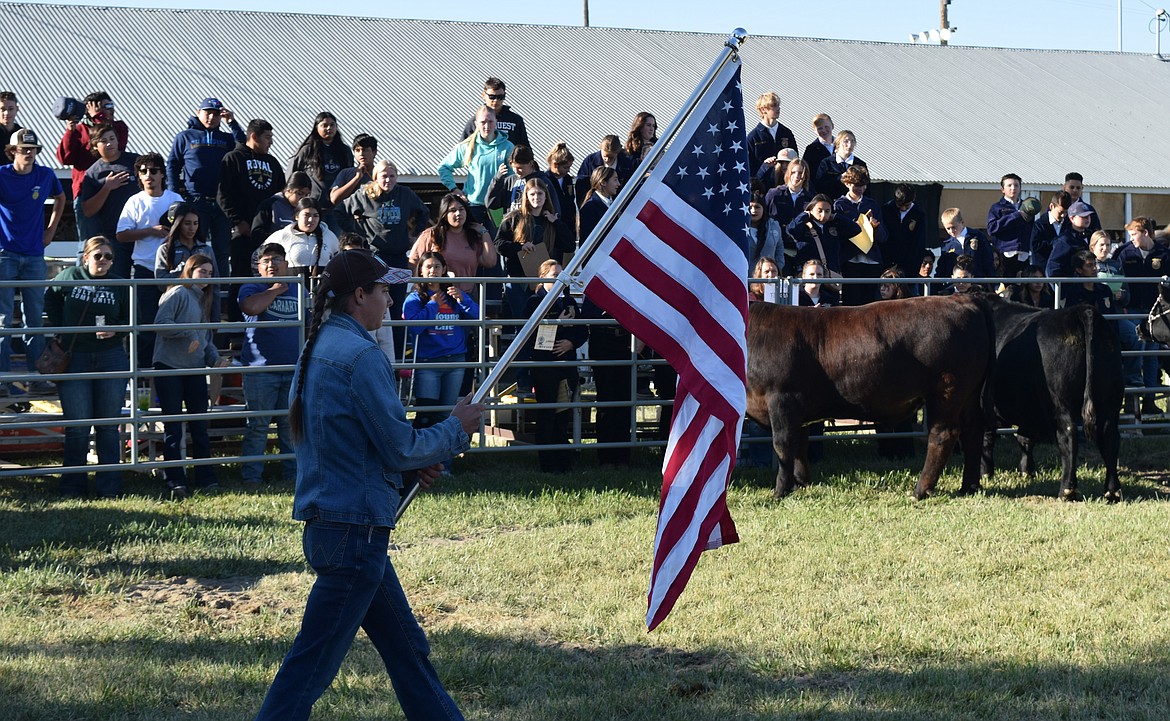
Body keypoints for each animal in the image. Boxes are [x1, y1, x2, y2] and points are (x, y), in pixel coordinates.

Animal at [748, 296, 996, 498]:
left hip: (947, 391)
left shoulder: (782, 398)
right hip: (969, 395)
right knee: (973, 431)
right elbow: (800, 445)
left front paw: (780, 491)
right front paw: (799, 484)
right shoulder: (799, 410)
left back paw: (921, 490)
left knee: (943, 435)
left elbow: (783, 444)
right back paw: (969, 486)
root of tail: (961, 298)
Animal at [987, 296, 1123, 503]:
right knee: (1110, 437)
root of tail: (1082, 311)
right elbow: (1025, 438)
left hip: (1061, 404)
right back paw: (1112, 491)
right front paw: (1028, 471)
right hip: (1110, 401)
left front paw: (986, 474)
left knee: (1068, 437)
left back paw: (1067, 490)